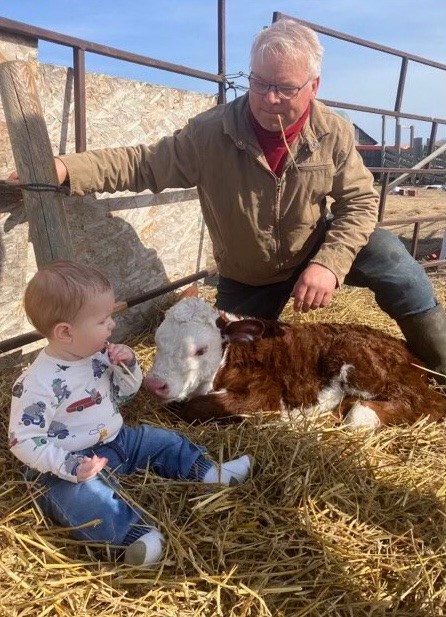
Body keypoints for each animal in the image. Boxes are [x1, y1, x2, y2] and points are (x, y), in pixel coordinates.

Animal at [144, 296, 446, 426]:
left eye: (201, 350)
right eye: (158, 341)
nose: (154, 384)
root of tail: (407, 350)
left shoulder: (264, 394)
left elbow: (196, 407)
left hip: (362, 364)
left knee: (423, 403)